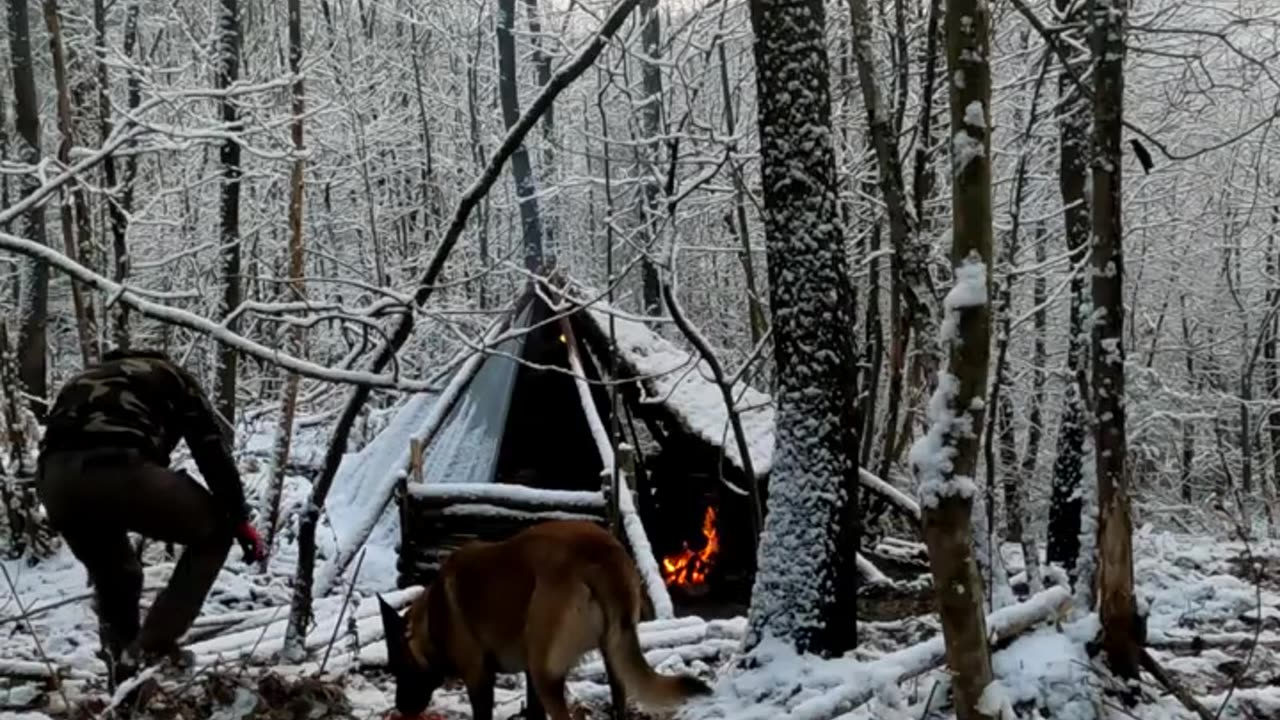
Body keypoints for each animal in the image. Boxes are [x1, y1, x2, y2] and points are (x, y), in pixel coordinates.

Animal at [378, 517, 711, 717]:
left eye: (397, 668)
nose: (399, 708)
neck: (430, 621)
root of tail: (599, 556)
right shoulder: (526, 675)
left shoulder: (479, 678)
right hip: (613, 656)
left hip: (546, 673)